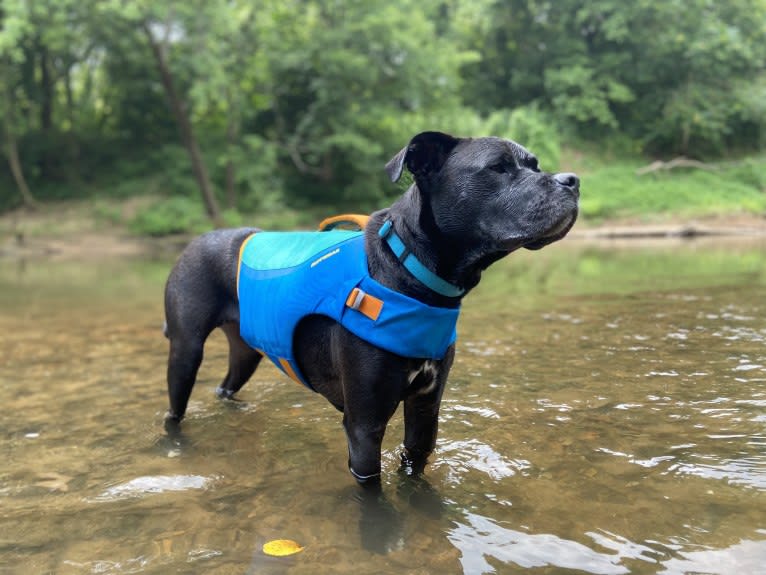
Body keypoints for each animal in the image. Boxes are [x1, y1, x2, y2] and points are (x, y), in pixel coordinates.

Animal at [164, 132, 584, 486]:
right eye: (498, 167)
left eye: (535, 165)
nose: (573, 180)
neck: (410, 268)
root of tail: (194, 241)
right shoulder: (365, 425)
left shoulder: (425, 410)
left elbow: (414, 475)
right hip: (186, 351)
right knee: (175, 408)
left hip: (245, 352)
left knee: (225, 386)